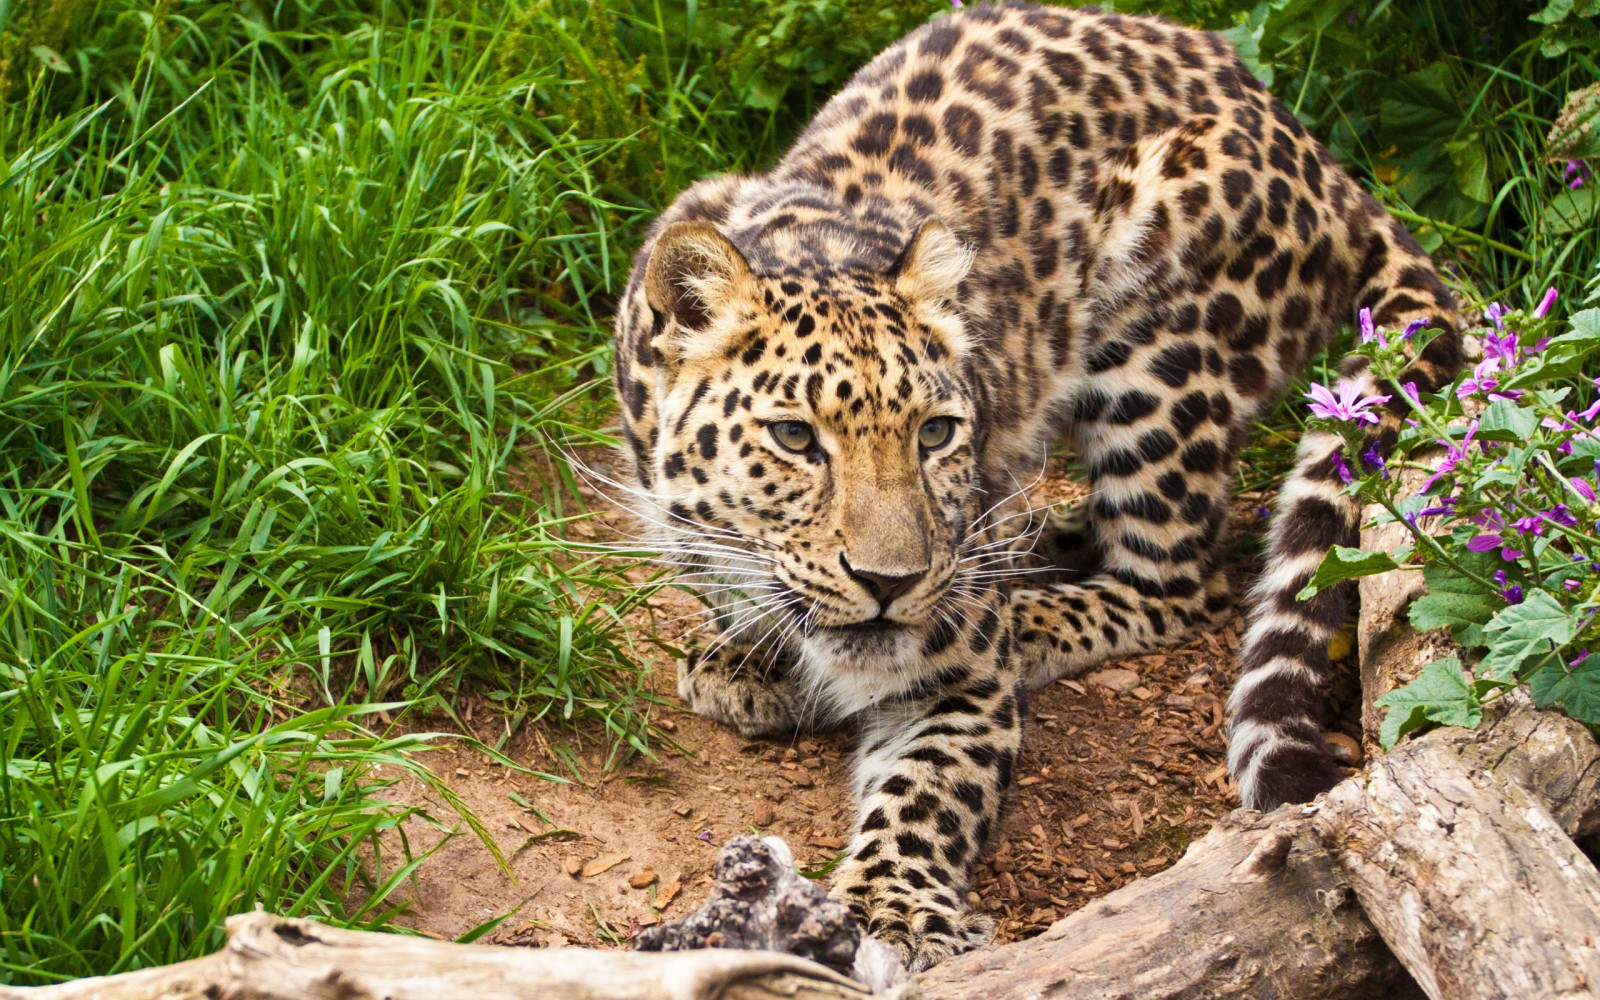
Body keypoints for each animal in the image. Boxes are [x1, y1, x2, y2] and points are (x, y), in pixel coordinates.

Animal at [609, 0, 1465, 970]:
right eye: (796, 438)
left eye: (935, 433)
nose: (892, 584)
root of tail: (1322, 158)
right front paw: (744, 652)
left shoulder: (962, 681)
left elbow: (926, 792)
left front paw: (894, 908)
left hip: (1161, 356)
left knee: (1179, 583)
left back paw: (1034, 609)